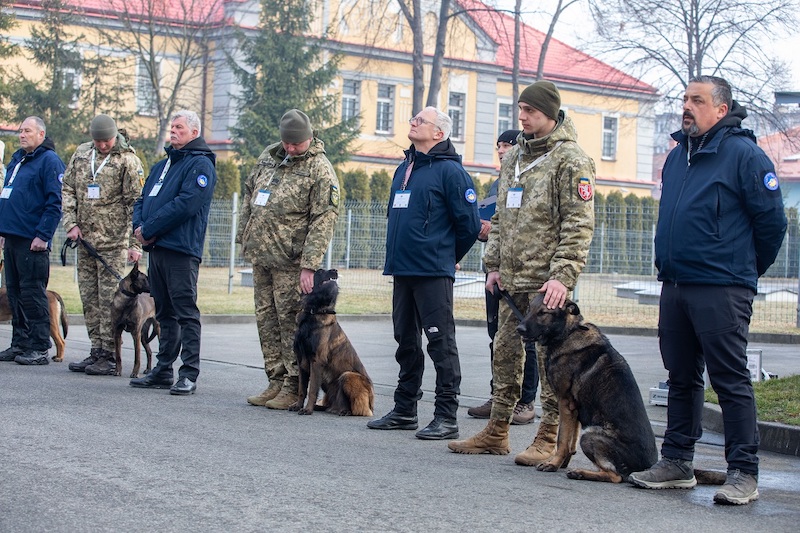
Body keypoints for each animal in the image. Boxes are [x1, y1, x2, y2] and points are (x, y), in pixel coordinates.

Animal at [290, 270, 374, 416]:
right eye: (320, 271)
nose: (335, 270)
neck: (314, 312)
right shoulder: (301, 363)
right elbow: (302, 389)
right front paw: (298, 405)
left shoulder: (316, 361)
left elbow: (312, 390)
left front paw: (307, 409)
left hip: (348, 376)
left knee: (358, 409)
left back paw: (345, 411)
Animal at [516, 294, 660, 484]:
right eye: (529, 309)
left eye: (543, 313)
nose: (519, 329)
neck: (567, 333)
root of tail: (647, 467)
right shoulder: (575, 408)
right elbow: (570, 441)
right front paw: (562, 463)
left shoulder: (565, 403)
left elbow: (562, 439)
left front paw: (553, 464)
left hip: (590, 436)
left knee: (615, 477)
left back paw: (581, 473)